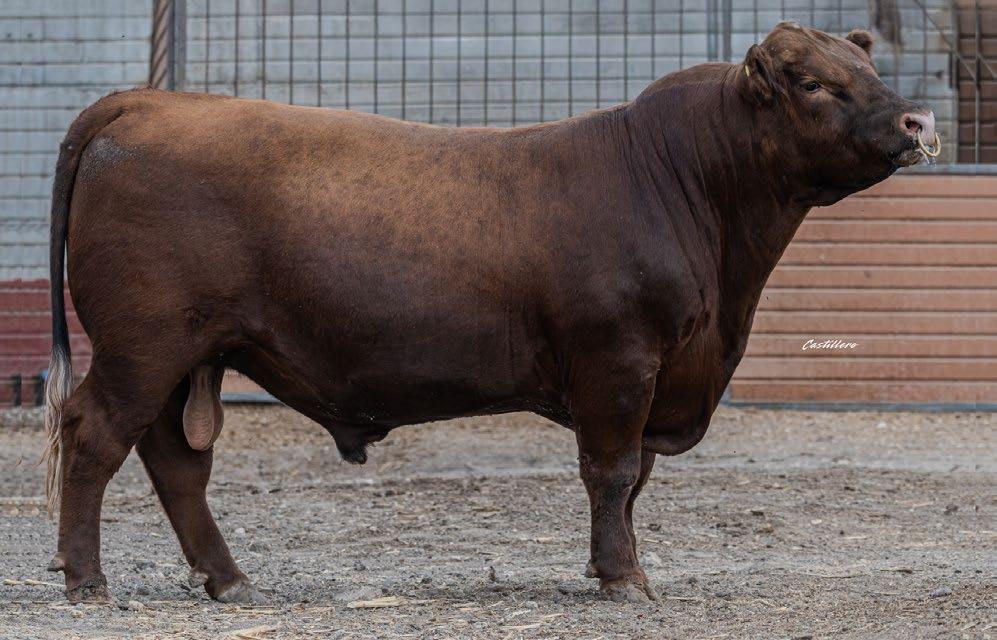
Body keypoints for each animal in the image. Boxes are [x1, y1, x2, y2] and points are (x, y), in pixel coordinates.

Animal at [42, 22, 938, 605]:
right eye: (813, 84)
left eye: (868, 72)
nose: (915, 120)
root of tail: (145, 103)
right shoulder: (617, 361)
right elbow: (613, 473)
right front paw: (623, 577)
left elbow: (634, 481)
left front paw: (618, 565)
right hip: (144, 344)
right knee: (95, 435)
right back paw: (87, 579)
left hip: (188, 354)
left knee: (175, 461)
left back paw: (228, 580)